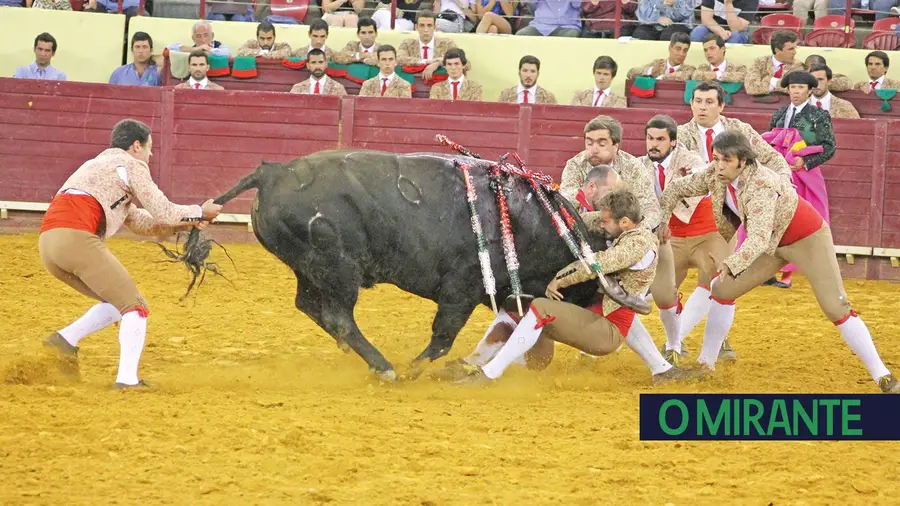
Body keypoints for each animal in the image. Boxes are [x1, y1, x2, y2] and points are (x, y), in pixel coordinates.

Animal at [183, 149, 648, 380]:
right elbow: (444, 336)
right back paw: (386, 368)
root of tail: (273, 173)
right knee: (337, 315)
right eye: (586, 290)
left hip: (312, 270)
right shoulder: (461, 290)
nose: (600, 330)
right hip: (337, 267)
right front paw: (415, 369)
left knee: (311, 306)